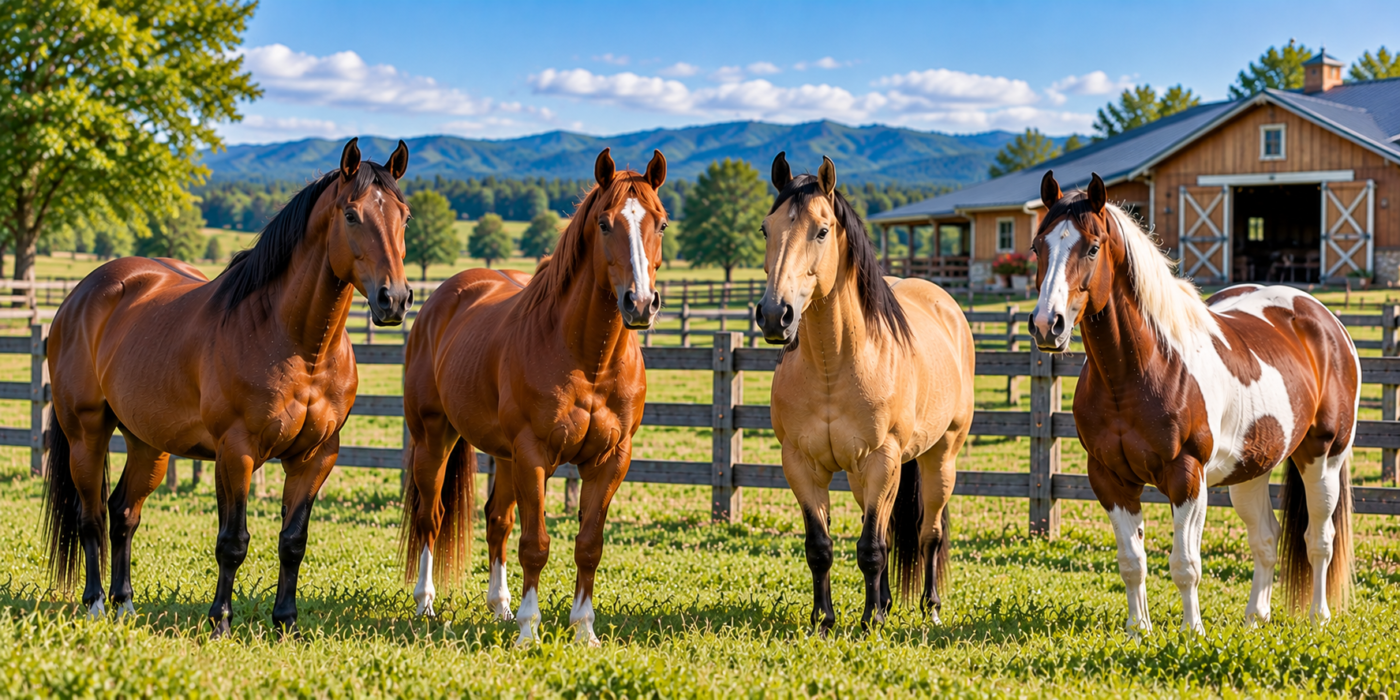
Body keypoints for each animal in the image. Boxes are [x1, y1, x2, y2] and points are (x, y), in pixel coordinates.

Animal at [41, 138, 413, 636]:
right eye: (352, 215)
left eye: (404, 217)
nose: (395, 299)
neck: (296, 344)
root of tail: (80, 296)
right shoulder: (236, 453)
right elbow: (232, 542)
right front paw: (220, 622)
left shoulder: (316, 458)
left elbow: (293, 541)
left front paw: (286, 624)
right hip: (87, 434)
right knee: (92, 517)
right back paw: (97, 603)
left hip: (148, 443)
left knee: (123, 513)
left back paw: (125, 605)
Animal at [400, 147, 666, 646]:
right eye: (605, 223)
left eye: (659, 223)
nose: (639, 303)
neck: (587, 357)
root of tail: (442, 297)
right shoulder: (533, 454)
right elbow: (536, 545)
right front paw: (529, 630)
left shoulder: (610, 459)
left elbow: (588, 545)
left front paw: (584, 629)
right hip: (433, 439)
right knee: (431, 516)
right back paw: (426, 603)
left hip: (503, 457)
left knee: (496, 520)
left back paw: (500, 606)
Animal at [756, 153, 975, 634]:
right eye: (766, 228)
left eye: (822, 230)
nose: (775, 315)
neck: (833, 366)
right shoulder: (801, 465)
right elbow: (821, 546)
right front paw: (824, 619)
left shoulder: (882, 460)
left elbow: (871, 548)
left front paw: (870, 619)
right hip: (862, 476)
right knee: (887, 531)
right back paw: (889, 602)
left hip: (939, 459)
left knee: (929, 534)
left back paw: (929, 607)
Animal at [1029, 171, 1358, 633]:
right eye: (1037, 247)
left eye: (1091, 247)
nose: (1047, 325)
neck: (1137, 372)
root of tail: (1324, 320)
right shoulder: (1109, 479)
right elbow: (1132, 561)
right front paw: (1138, 631)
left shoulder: (1186, 476)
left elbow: (1185, 564)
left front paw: (1191, 632)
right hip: (1251, 468)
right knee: (1266, 538)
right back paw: (1255, 617)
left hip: (1323, 457)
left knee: (1319, 541)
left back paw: (1318, 617)